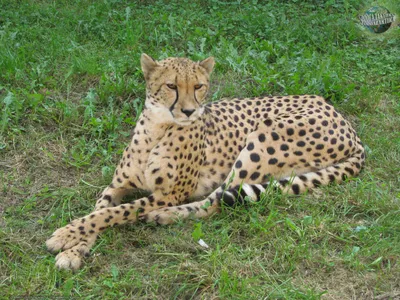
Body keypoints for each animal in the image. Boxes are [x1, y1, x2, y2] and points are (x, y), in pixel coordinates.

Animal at [47, 53, 366, 270]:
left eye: (199, 86)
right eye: (171, 86)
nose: (189, 111)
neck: (157, 129)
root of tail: (342, 118)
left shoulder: (168, 194)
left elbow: (116, 212)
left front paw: (63, 234)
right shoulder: (115, 186)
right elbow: (99, 212)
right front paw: (74, 250)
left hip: (263, 138)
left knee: (218, 199)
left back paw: (165, 216)